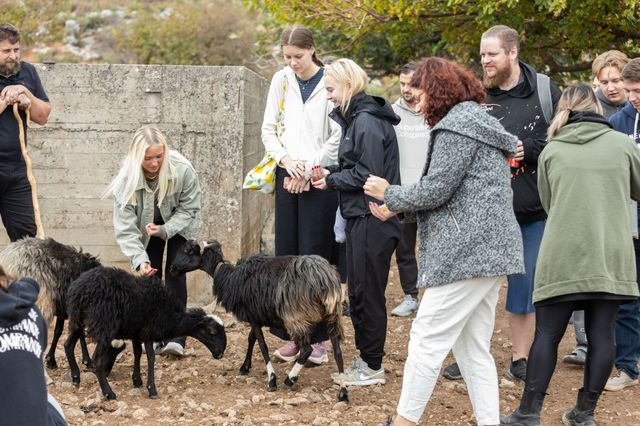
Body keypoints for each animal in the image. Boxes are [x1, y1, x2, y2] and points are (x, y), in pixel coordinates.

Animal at [0, 236, 101, 370]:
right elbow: (77, 333)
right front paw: (87, 360)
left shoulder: (64, 307)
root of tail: (8, 264)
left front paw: (51, 359)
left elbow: (58, 331)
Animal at [63, 266, 226, 400]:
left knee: (67, 345)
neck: (171, 317)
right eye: (212, 332)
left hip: (77, 320)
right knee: (96, 361)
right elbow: (151, 358)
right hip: (105, 326)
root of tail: (80, 290)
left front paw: (137, 380)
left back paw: (76, 377)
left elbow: (137, 354)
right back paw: (109, 393)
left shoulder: (137, 333)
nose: (220, 354)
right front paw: (151, 389)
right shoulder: (149, 332)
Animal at [169, 241, 350, 402]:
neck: (226, 274)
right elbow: (251, 339)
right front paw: (245, 367)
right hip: (332, 315)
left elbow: (262, 345)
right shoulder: (255, 316)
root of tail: (324, 279)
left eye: (187, 251)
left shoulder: (254, 317)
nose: (172, 269)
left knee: (306, 350)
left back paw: (290, 379)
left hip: (296, 316)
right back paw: (343, 392)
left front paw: (272, 379)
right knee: (338, 352)